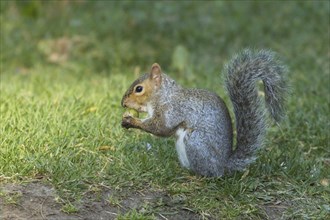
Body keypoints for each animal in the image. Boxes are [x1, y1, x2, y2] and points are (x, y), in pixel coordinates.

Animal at [120, 49, 288, 177]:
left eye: (139, 89)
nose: (123, 103)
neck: (164, 95)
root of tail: (223, 165)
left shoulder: (173, 110)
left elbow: (161, 128)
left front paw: (131, 121)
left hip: (195, 142)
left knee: (209, 174)